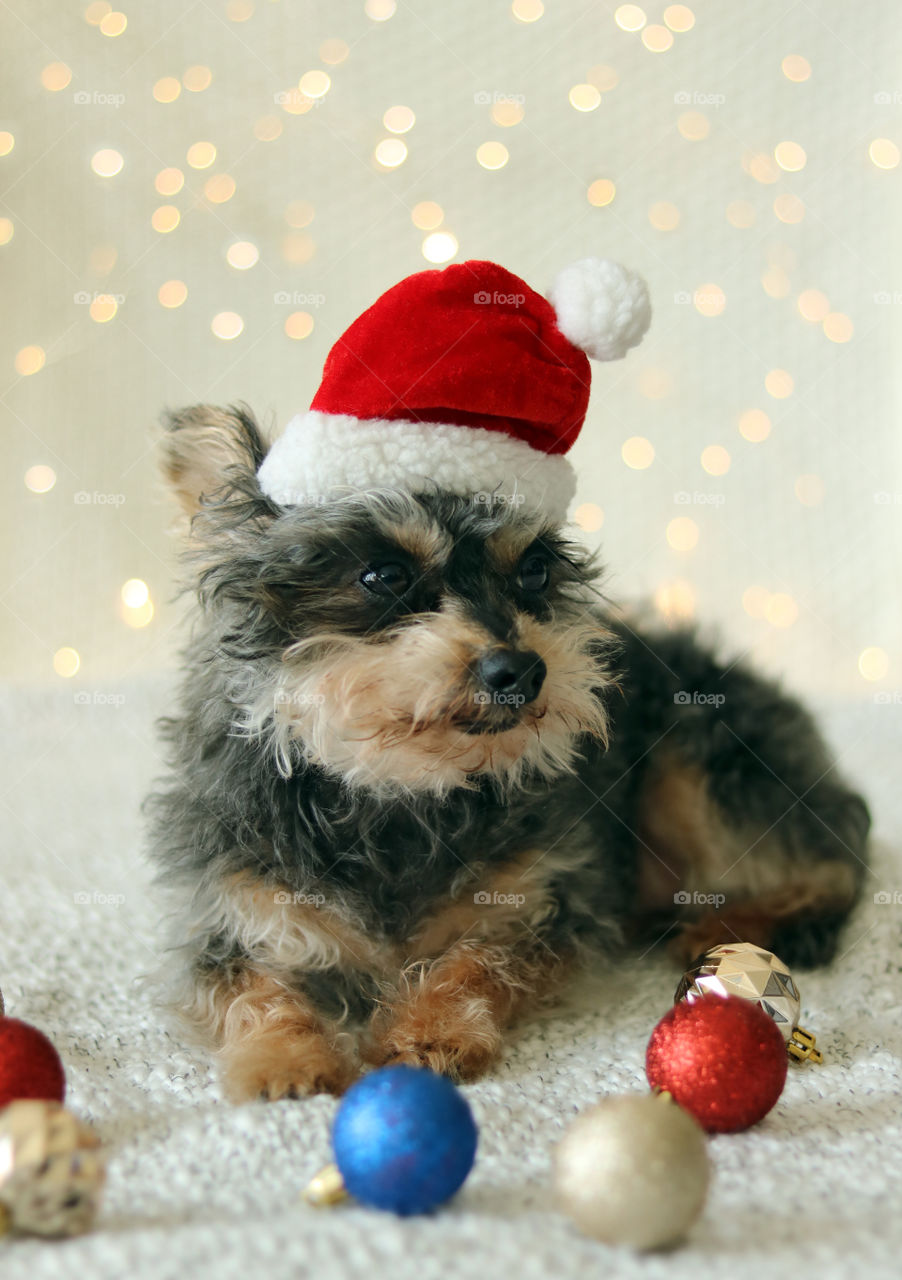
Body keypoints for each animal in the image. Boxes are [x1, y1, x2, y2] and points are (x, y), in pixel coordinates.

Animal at [144, 259, 870, 1100]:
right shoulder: (228, 909)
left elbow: (477, 961)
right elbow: (252, 986)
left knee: (834, 864)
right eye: (383, 574)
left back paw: (728, 924)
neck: (396, 797)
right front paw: (285, 1057)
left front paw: (432, 1029)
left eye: (532, 572)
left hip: (696, 761)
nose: (520, 668)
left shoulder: (541, 905)